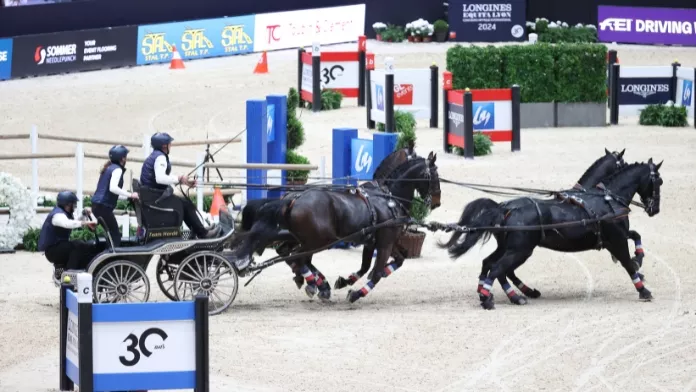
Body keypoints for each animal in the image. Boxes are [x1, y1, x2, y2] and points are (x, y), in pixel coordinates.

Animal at [232, 145, 440, 302]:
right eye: (435, 175)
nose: (437, 202)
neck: (387, 197)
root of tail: (294, 198)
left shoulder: (376, 241)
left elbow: (387, 263)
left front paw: (345, 281)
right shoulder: (385, 242)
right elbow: (377, 272)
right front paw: (355, 293)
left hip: (304, 239)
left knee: (291, 256)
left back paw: (314, 282)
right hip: (319, 240)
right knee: (297, 258)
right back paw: (315, 283)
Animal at [444, 159, 660, 310]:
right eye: (659, 181)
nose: (655, 209)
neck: (607, 200)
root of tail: (504, 208)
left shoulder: (616, 237)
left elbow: (636, 237)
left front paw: (639, 258)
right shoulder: (617, 240)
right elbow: (627, 263)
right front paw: (643, 290)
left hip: (509, 248)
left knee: (491, 264)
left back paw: (503, 294)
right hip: (520, 250)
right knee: (499, 269)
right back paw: (494, 298)